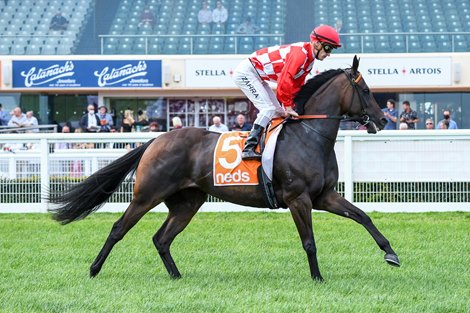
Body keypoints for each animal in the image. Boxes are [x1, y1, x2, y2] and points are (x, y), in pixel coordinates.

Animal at [48, 55, 400, 280]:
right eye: (365, 91)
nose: (382, 120)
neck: (309, 136)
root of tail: (156, 140)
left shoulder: (324, 196)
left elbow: (363, 216)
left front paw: (390, 253)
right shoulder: (298, 198)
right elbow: (309, 241)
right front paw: (318, 278)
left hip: (187, 202)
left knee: (161, 238)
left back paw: (176, 276)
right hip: (147, 195)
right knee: (119, 228)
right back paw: (94, 269)